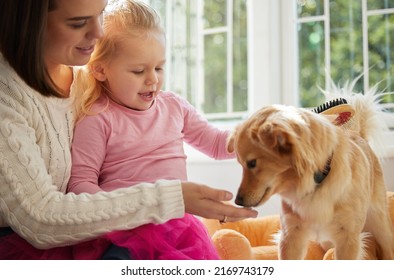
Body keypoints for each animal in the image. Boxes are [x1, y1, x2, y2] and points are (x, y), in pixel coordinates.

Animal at [226, 88, 394, 260]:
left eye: (252, 163)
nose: (238, 201)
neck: (315, 184)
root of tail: (357, 134)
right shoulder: (291, 236)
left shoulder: (348, 239)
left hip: (380, 224)